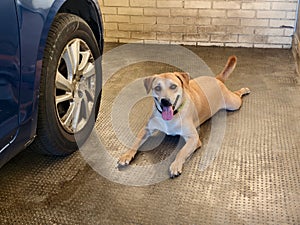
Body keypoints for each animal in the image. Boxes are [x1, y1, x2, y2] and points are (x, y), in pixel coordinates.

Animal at [118, 55, 250, 178]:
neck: (173, 116)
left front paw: (176, 164)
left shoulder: (194, 138)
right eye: (157, 88)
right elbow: (135, 143)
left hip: (233, 103)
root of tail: (217, 79)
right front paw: (127, 155)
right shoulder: (146, 129)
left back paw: (243, 90)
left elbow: (181, 152)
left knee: (237, 95)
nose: (165, 101)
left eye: (173, 86)